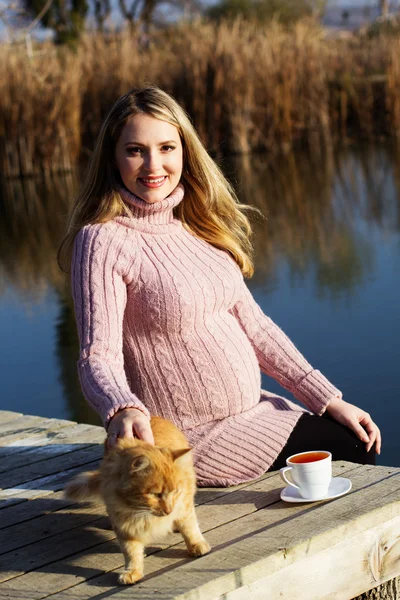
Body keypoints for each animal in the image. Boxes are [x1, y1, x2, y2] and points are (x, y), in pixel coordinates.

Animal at [63, 418, 209, 584]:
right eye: (156, 494)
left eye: (174, 491)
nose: (168, 510)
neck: (140, 511)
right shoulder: (124, 526)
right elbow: (131, 552)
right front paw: (133, 571)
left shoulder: (184, 505)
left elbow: (190, 528)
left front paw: (197, 545)